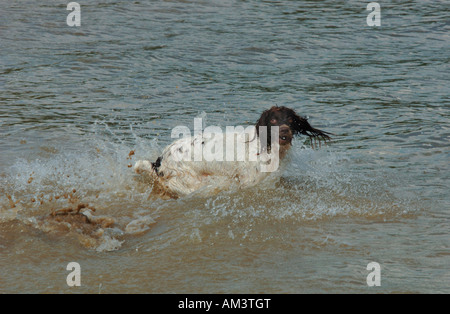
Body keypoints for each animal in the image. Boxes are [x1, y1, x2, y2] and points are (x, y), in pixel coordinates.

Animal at [134, 106, 330, 197]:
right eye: (273, 120)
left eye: (290, 120)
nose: (284, 131)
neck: (264, 145)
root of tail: (159, 161)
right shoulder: (251, 181)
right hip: (191, 183)